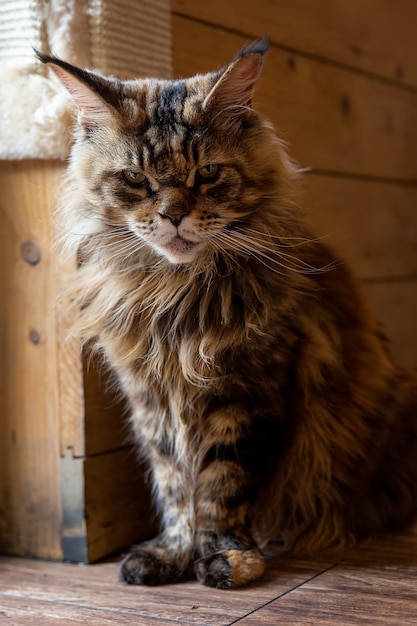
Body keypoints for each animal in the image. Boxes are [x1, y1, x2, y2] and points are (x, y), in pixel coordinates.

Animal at [35, 41, 416, 588]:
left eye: (208, 173)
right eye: (135, 178)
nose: (173, 214)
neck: (175, 294)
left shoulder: (245, 391)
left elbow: (221, 485)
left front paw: (225, 557)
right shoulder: (151, 398)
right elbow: (175, 485)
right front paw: (172, 552)